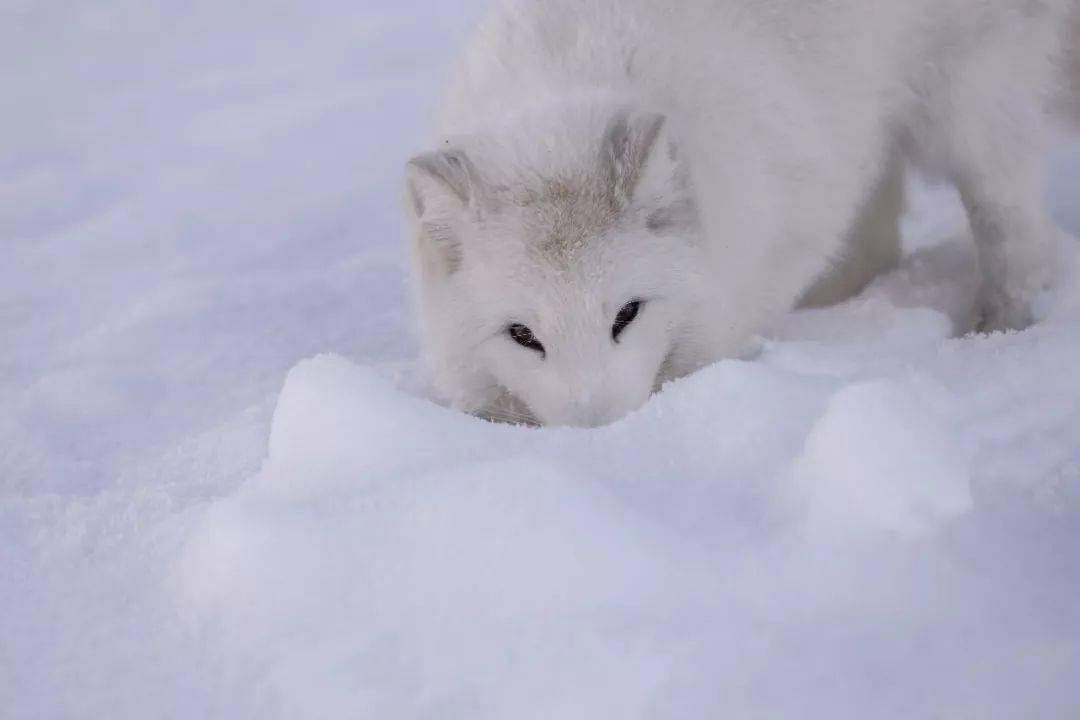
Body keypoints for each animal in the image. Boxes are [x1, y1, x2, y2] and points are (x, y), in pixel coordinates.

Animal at [406, 0, 1080, 427]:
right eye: (523, 336)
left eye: (628, 314)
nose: (602, 434)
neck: (565, 79)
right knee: (880, 240)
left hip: (971, 108)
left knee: (1013, 231)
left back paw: (996, 332)